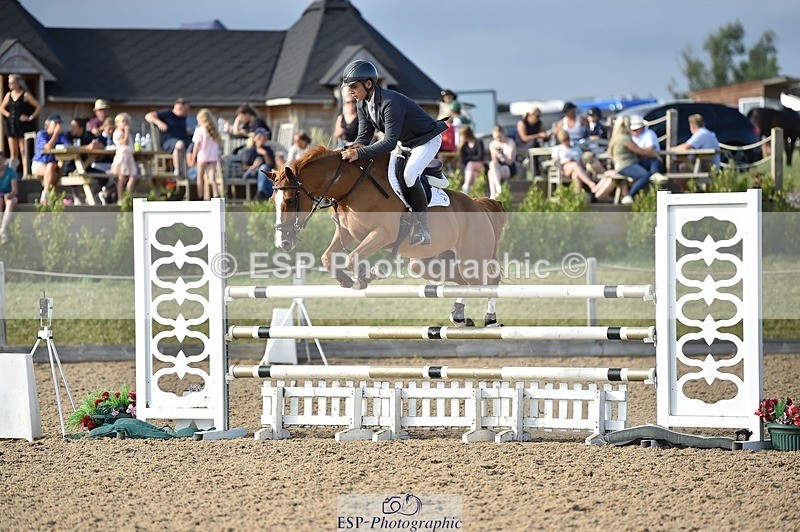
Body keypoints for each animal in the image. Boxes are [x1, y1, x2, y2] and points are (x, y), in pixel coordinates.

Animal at [268, 145, 508, 327]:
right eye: (273, 201)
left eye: (289, 200)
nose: (283, 243)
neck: (350, 187)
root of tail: (478, 205)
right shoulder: (346, 233)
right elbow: (327, 257)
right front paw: (348, 280)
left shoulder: (383, 234)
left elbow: (352, 257)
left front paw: (367, 276)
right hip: (426, 262)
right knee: (463, 281)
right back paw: (459, 316)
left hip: (472, 256)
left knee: (488, 281)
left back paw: (490, 320)